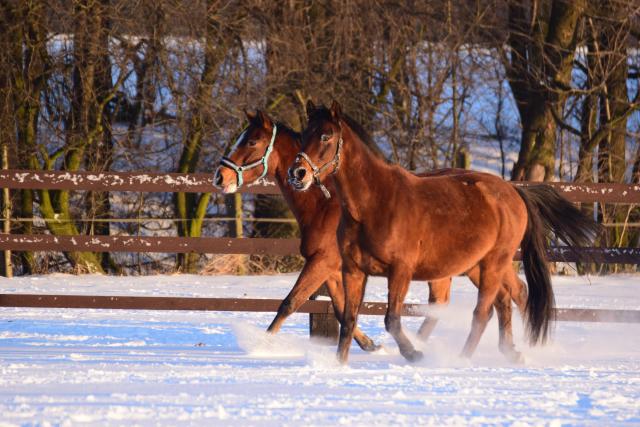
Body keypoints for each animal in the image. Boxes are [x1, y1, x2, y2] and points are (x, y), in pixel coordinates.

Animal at [215, 109, 476, 352]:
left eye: (252, 141)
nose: (220, 177)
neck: (326, 206)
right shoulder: (332, 269)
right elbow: (341, 309)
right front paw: (369, 344)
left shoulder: (322, 261)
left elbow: (290, 303)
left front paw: (261, 345)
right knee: (439, 304)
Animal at [290, 101, 600, 364]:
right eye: (304, 134)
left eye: (326, 136)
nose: (298, 174)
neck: (374, 204)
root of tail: (513, 191)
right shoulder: (353, 270)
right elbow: (349, 320)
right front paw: (340, 365)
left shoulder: (400, 270)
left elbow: (392, 319)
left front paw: (414, 353)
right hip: (480, 264)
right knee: (509, 298)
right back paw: (514, 352)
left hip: (494, 262)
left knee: (484, 311)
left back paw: (461, 359)